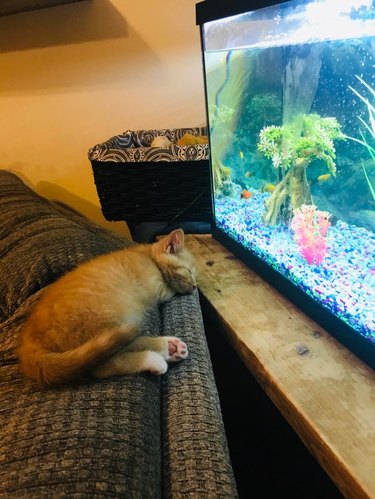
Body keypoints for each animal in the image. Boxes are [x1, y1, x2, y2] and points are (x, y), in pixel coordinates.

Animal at [18, 229, 198, 388]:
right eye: (189, 271)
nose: (195, 287)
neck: (148, 256)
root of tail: (29, 345)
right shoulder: (158, 288)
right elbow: (171, 290)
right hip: (115, 312)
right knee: (105, 363)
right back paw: (161, 352)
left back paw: (171, 349)